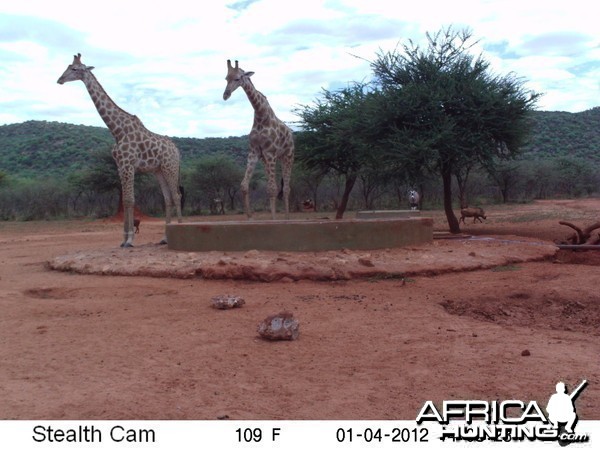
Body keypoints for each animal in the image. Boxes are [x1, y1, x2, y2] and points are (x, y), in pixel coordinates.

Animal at [57, 54, 182, 248]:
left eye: (75, 69)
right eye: (68, 66)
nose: (60, 79)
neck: (117, 130)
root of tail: (176, 150)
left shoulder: (128, 165)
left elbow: (130, 200)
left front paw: (130, 239)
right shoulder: (120, 166)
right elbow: (125, 200)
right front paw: (123, 240)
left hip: (170, 167)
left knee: (176, 196)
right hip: (159, 170)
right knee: (168, 198)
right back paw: (164, 238)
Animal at [221, 59, 294, 221]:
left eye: (238, 78)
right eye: (226, 78)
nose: (225, 95)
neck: (261, 116)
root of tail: (292, 135)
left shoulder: (271, 152)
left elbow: (272, 188)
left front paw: (273, 219)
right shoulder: (255, 152)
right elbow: (244, 185)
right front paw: (249, 217)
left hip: (287, 157)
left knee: (286, 188)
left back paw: (286, 218)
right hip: (266, 160)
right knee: (276, 185)